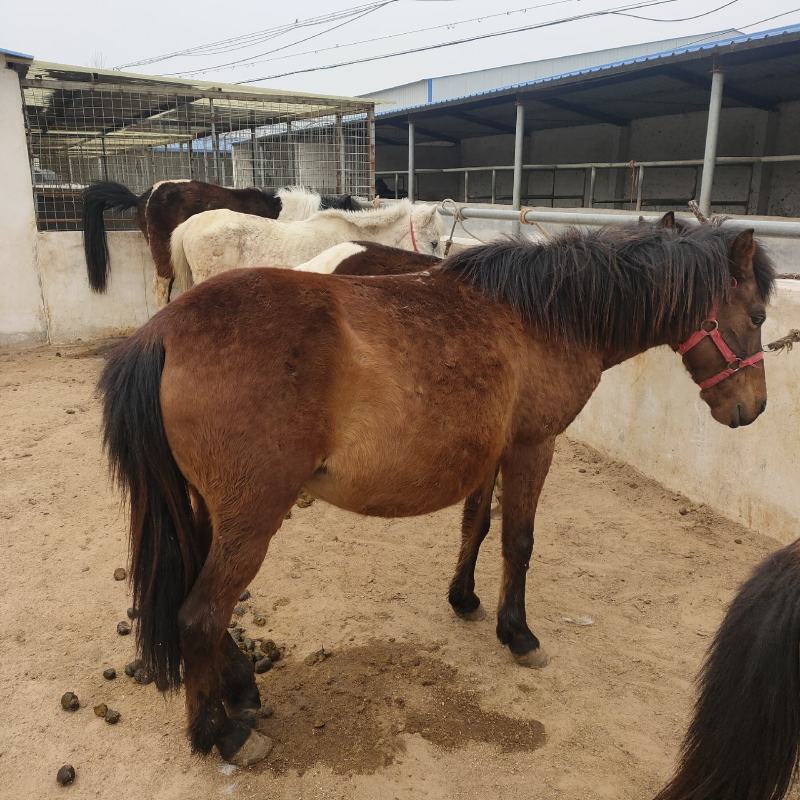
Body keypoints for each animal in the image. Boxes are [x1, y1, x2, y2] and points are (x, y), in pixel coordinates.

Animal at [98, 222, 773, 765]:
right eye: (760, 316)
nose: (754, 409)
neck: (543, 316)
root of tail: (163, 332)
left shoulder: (491, 453)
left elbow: (476, 524)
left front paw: (464, 597)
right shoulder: (533, 446)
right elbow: (518, 541)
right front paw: (517, 633)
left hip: (209, 511)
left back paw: (241, 689)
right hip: (251, 516)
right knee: (200, 615)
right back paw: (222, 733)